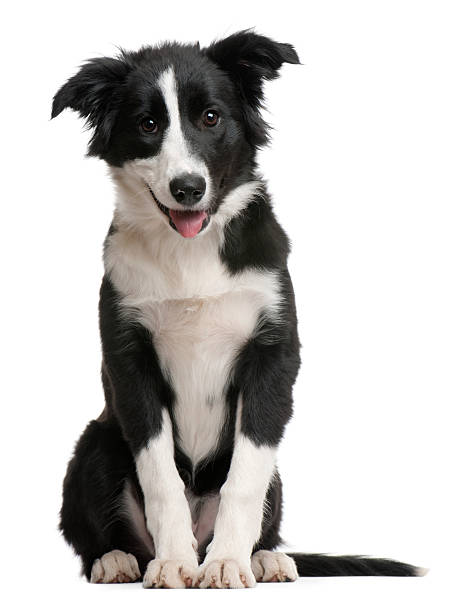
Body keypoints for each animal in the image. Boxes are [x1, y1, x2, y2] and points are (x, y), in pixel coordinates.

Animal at [51, 29, 422, 588]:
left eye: (211, 117)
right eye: (147, 124)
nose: (187, 188)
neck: (191, 252)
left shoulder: (272, 356)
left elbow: (245, 477)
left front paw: (227, 560)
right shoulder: (129, 359)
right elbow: (159, 476)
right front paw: (173, 562)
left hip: (279, 479)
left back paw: (263, 557)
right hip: (95, 444)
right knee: (99, 531)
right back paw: (118, 559)